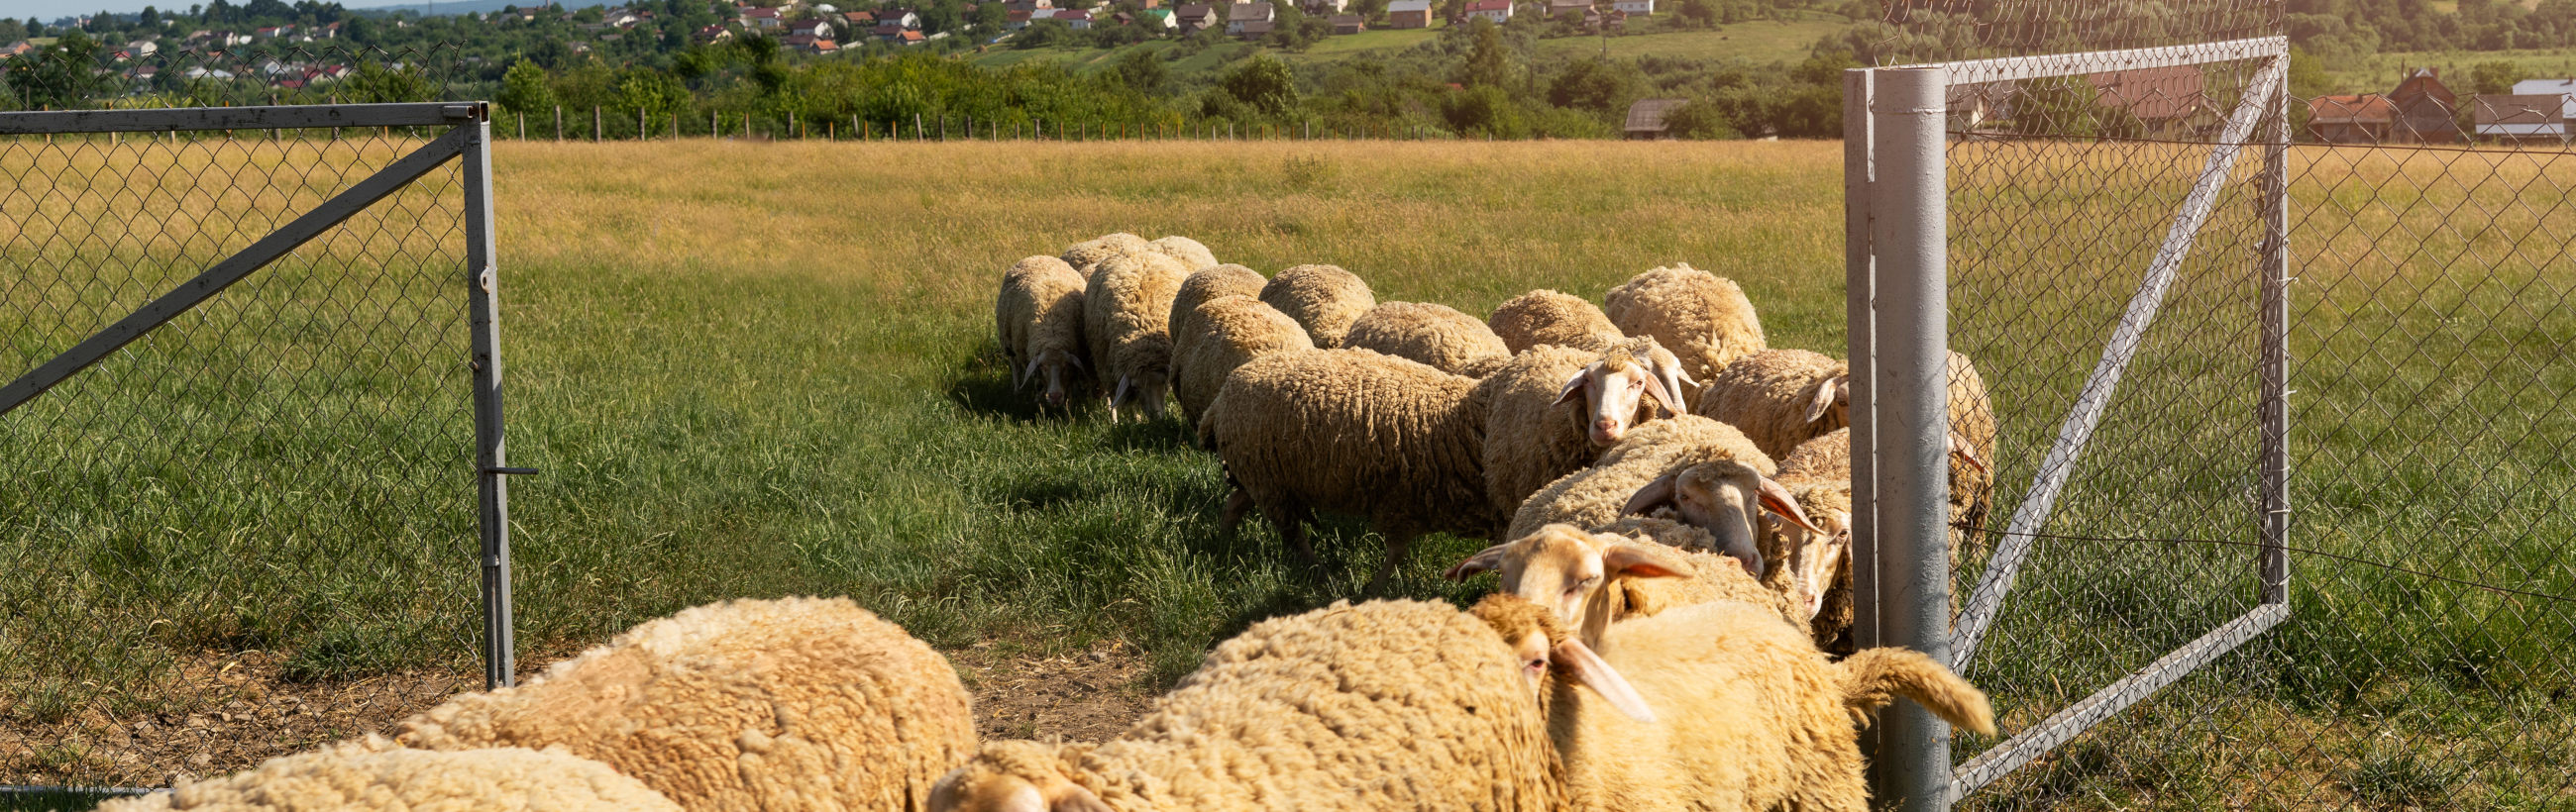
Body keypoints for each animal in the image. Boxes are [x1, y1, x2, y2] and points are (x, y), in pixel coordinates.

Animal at [995, 255, 1093, 408]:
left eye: (1065, 367)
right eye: (1043, 367)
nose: (1055, 396)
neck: (1052, 335)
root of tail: (1037, 256)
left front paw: (1068, 404)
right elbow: (1037, 382)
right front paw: (1038, 400)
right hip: (1007, 339)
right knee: (1014, 365)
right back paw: (1017, 390)